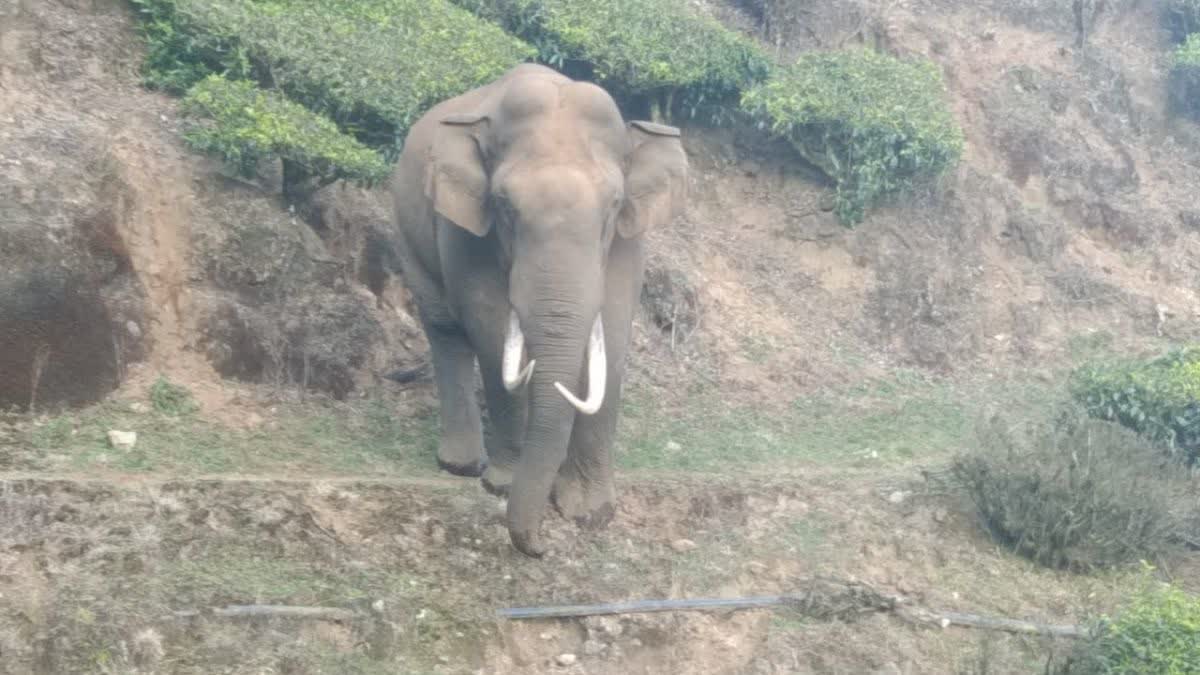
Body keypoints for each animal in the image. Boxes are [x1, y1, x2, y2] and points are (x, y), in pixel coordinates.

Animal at [388, 64, 691, 557]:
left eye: (613, 206)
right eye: (505, 207)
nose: (542, 547)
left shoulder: (628, 238)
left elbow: (613, 332)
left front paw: (589, 514)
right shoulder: (464, 228)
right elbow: (490, 327)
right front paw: (502, 487)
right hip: (406, 227)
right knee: (446, 330)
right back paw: (462, 466)